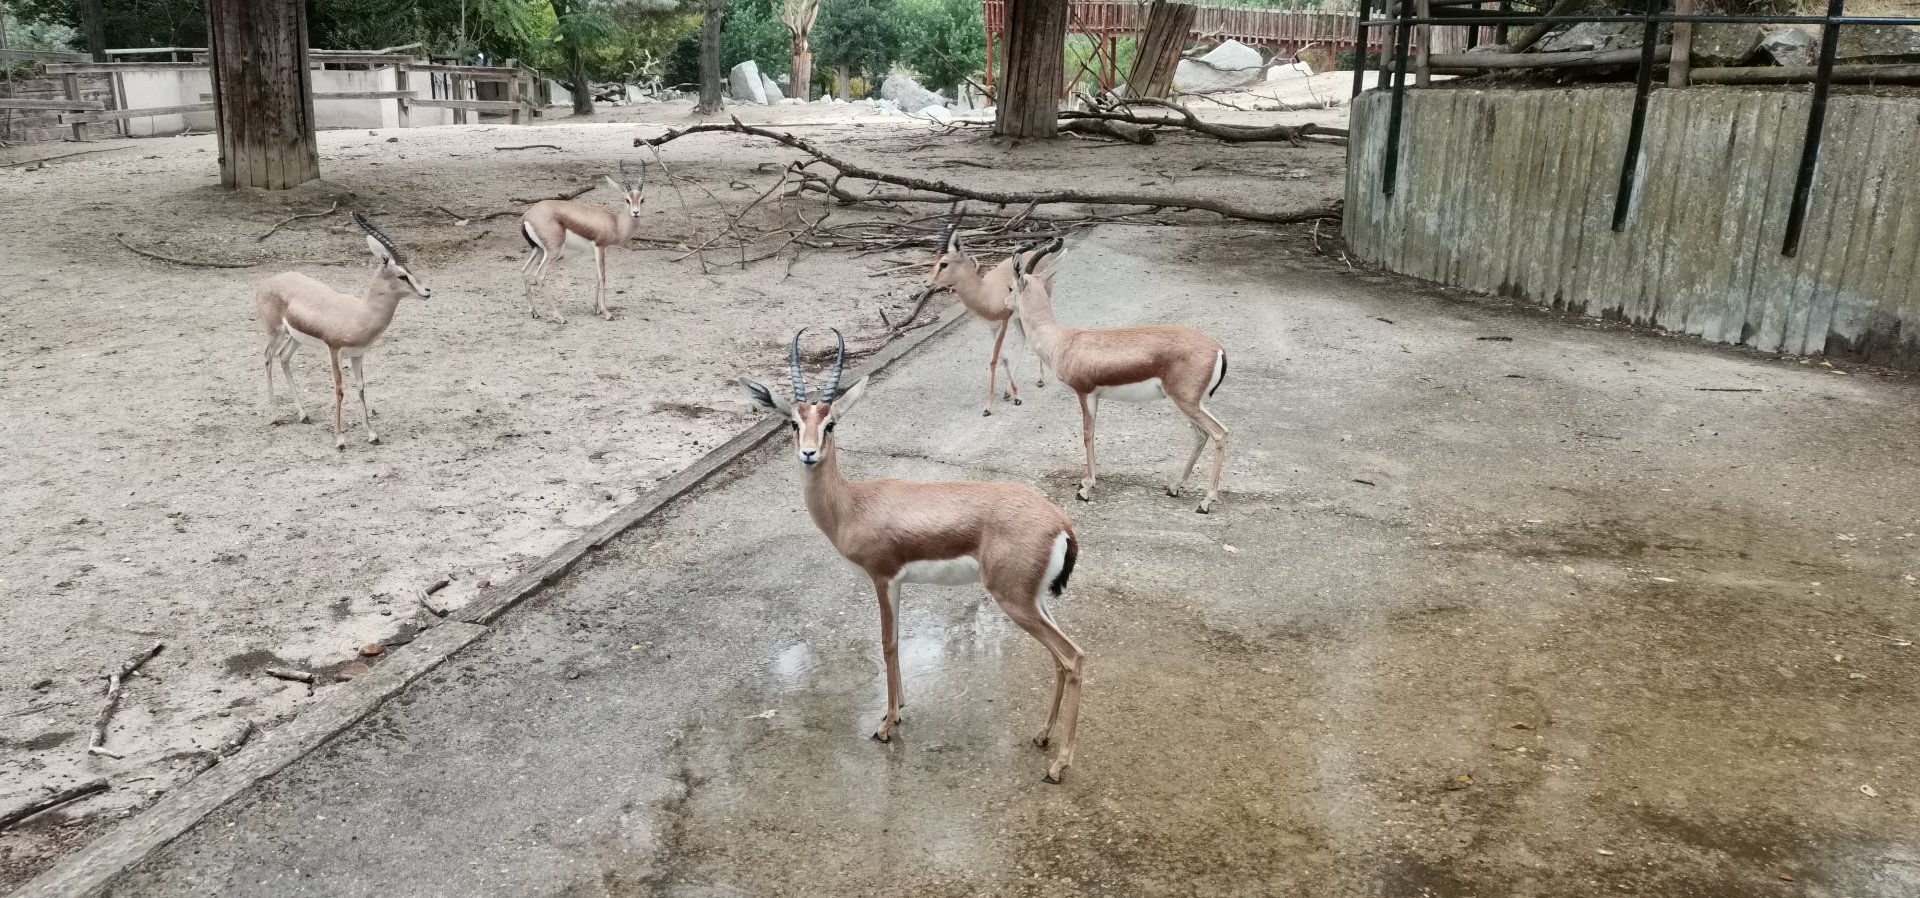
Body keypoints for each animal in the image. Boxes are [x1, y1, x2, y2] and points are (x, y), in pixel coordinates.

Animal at [256, 213, 431, 451]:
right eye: (402, 276)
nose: (427, 291)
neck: (360, 314)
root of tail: (267, 282)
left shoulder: (358, 354)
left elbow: (361, 388)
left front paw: (372, 435)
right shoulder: (334, 351)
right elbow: (339, 390)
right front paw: (340, 440)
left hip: (295, 338)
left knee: (284, 358)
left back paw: (303, 415)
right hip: (275, 333)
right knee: (268, 357)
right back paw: (275, 417)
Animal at [518, 170, 645, 323]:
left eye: (642, 199)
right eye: (627, 199)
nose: (636, 213)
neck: (616, 223)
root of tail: (527, 216)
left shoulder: (600, 251)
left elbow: (597, 275)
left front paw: (596, 309)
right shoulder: (600, 247)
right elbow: (602, 276)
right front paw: (607, 313)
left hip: (539, 250)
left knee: (525, 271)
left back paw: (534, 311)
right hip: (554, 251)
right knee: (540, 275)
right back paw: (559, 316)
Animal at [740, 329, 1089, 783]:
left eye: (830, 423)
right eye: (793, 423)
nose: (809, 453)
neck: (852, 504)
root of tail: (1061, 522)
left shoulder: (882, 577)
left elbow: (887, 642)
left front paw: (886, 725)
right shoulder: (898, 583)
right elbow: (898, 639)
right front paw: (899, 708)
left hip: (1013, 601)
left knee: (1072, 657)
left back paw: (1058, 765)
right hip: (1035, 600)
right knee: (1062, 658)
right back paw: (1042, 736)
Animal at [926, 212, 1053, 416]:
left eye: (944, 263)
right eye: (935, 259)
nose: (927, 281)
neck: (984, 292)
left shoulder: (1004, 322)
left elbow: (994, 360)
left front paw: (989, 406)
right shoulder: (992, 326)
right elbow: (1003, 357)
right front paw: (1013, 394)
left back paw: (1040, 380)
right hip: (1019, 317)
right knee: (1024, 337)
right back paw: (1009, 390)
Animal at [1008, 238, 1231, 513]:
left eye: (1010, 286)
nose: (1006, 303)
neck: (1062, 343)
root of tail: (1218, 349)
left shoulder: (1085, 393)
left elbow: (1087, 435)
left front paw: (1085, 488)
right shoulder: (1096, 396)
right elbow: (1092, 434)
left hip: (1186, 401)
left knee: (1219, 433)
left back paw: (1206, 501)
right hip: (1188, 403)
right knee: (1201, 435)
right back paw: (1174, 488)